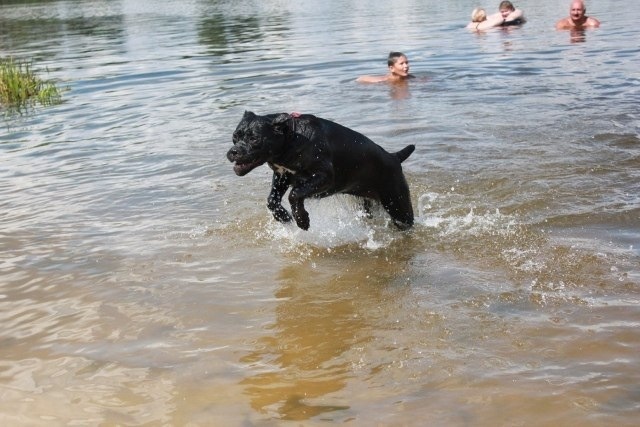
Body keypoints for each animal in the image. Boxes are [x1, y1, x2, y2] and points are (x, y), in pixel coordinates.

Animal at [225, 110, 416, 231]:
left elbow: (294, 194)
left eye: (254, 139)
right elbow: (272, 199)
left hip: (398, 206)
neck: (291, 138)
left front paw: (302, 220)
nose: (233, 152)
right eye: (234, 137)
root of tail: (394, 157)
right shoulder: (282, 175)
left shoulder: (324, 177)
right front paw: (283, 217)